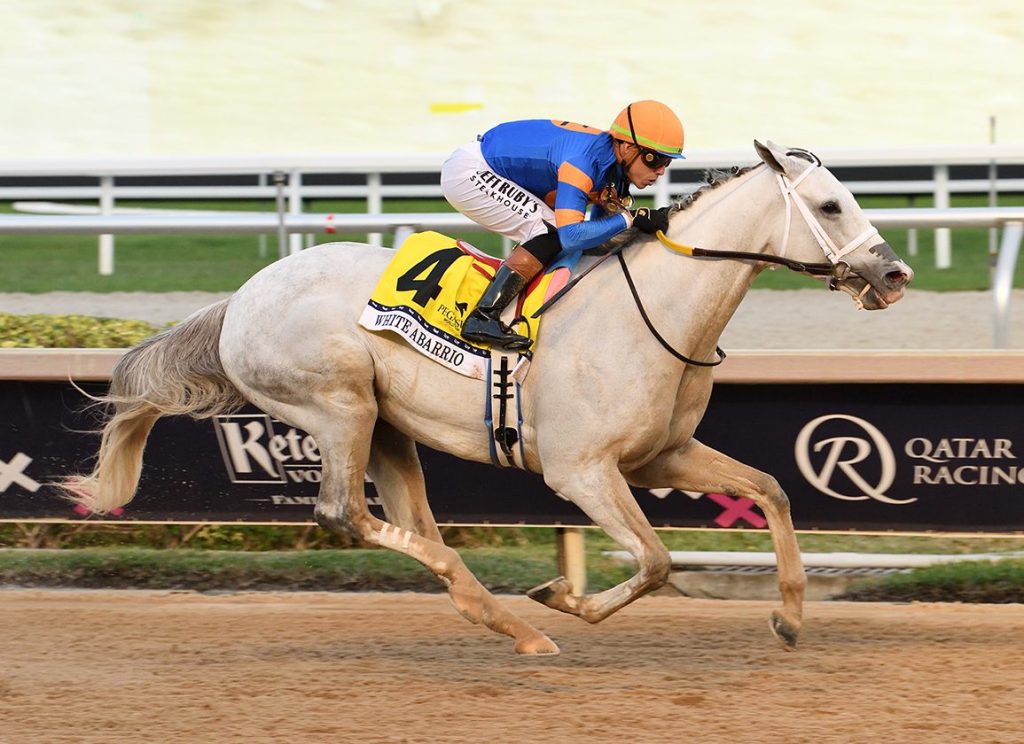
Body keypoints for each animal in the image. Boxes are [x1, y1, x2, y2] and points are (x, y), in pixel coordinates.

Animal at [66, 140, 913, 656]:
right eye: (831, 206)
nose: (893, 273)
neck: (655, 312)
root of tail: (240, 299)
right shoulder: (581, 471)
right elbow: (656, 559)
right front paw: (566, 598)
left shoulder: (660, 455)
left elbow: (770, 489)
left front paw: (789, 615)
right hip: (337, 407)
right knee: (346, 514)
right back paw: (519, 616)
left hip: (387, 427)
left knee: (408, 519)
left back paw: (506, 622)